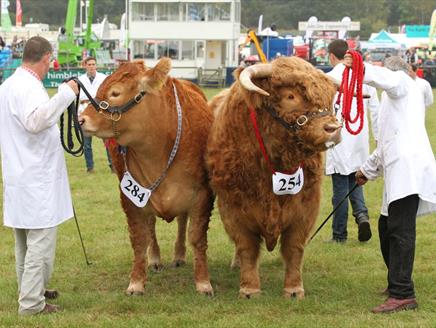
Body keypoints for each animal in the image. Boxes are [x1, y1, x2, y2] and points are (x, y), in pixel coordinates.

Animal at [79, 57, 215, 296]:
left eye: (115, 93)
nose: (81, 119)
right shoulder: (130, 195)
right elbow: (140, 239)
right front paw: (136, 282)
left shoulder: (202, 194)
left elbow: (197, 237)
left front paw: (203, 282)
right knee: (151, 225)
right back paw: (155, 259)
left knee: (181, 221)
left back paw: (179, 255)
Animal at [206, 57, 342, 300]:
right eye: (290, 96)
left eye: (330, 98)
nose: (333, 129)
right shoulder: (233, 207)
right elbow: (247, 246)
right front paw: (249, 289)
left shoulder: (306, 208)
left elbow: (294, 248)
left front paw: (294, 289)